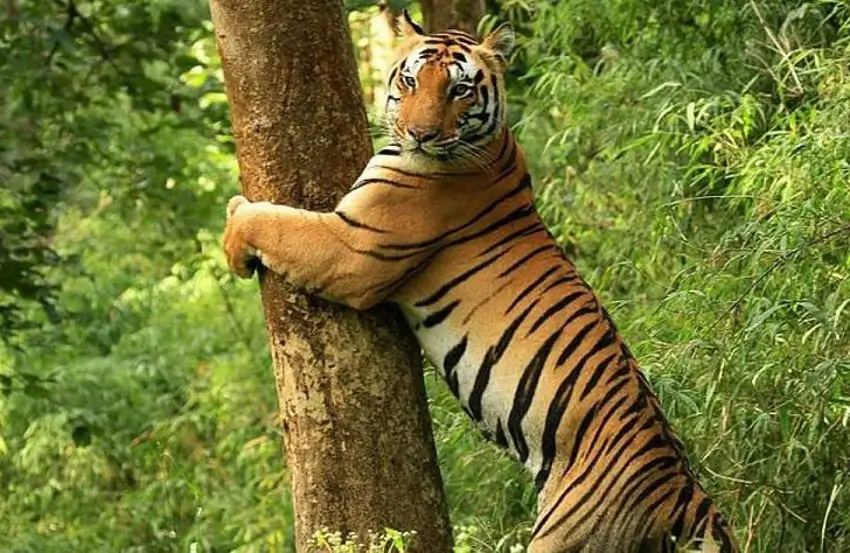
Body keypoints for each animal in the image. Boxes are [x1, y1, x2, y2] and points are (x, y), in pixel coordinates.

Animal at [222, 11, 740, 553]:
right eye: (411, 81)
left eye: (459, 90)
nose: (420, 134)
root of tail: (684, 493)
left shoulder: (353, 249)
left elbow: (278, 225)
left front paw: (234, 230)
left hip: (567, 536)